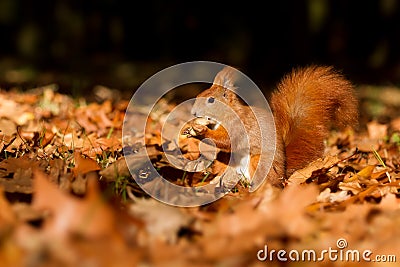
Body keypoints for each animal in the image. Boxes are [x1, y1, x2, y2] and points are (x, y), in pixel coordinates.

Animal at [183, 65, 358, 189]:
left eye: (211, 100)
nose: (193, 112)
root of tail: (283, 176)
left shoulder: (240, 126)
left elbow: (226, 140)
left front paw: (201, 131)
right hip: (227, 162)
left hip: (259, 162)